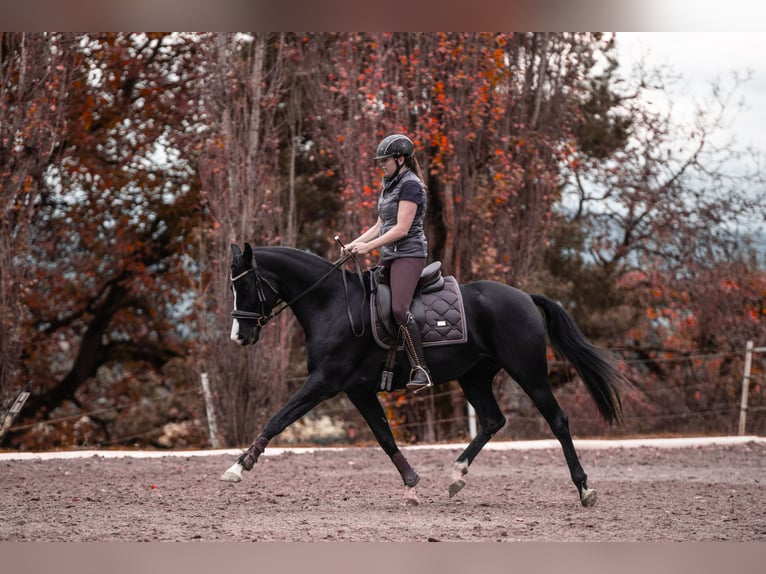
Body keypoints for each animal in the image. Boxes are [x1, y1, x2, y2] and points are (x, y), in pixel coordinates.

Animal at [221, 243, 624, 507]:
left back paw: (584, 489)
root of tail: (524, 296)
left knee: (557, 420)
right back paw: (456, 477)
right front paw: (412, 484)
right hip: (473, 376)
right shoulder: (358, 390)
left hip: (529, 372)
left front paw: (238, 468)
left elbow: (278, 419)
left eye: (245, 285)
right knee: (492, 420)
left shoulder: (324, 382)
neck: (332, 304)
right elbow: (385, 438)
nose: (239, 336)